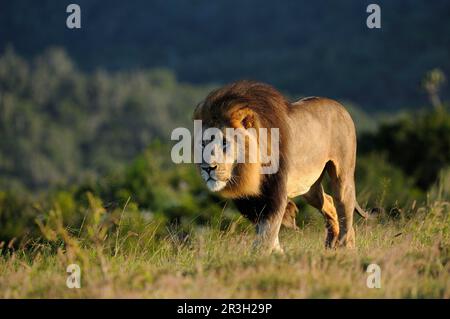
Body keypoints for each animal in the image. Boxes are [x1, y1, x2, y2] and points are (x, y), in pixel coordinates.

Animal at [192, 81, 366, 254]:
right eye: (203, 144)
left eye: (224, 142)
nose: (208, 168)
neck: (248, 171)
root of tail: (340, 107)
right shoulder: (250, 201)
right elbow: (266, 232)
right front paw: (278, 252)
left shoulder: (276, 193)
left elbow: (267, 232)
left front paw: (261, 254)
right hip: (309, 188)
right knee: (328, 202)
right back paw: (331, 243)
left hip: (342, 177)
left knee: (344, 210)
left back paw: (346, 246)